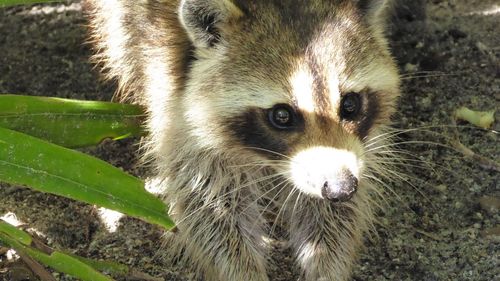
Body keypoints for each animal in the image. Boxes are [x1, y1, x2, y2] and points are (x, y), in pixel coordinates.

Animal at [84, 0, 400, 280]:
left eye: (350, 105)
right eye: (282, 115)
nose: (340, 188)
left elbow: (333, 213)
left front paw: (326, 266)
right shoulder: (175, 101)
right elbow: (208, 208)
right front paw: (243, 272)